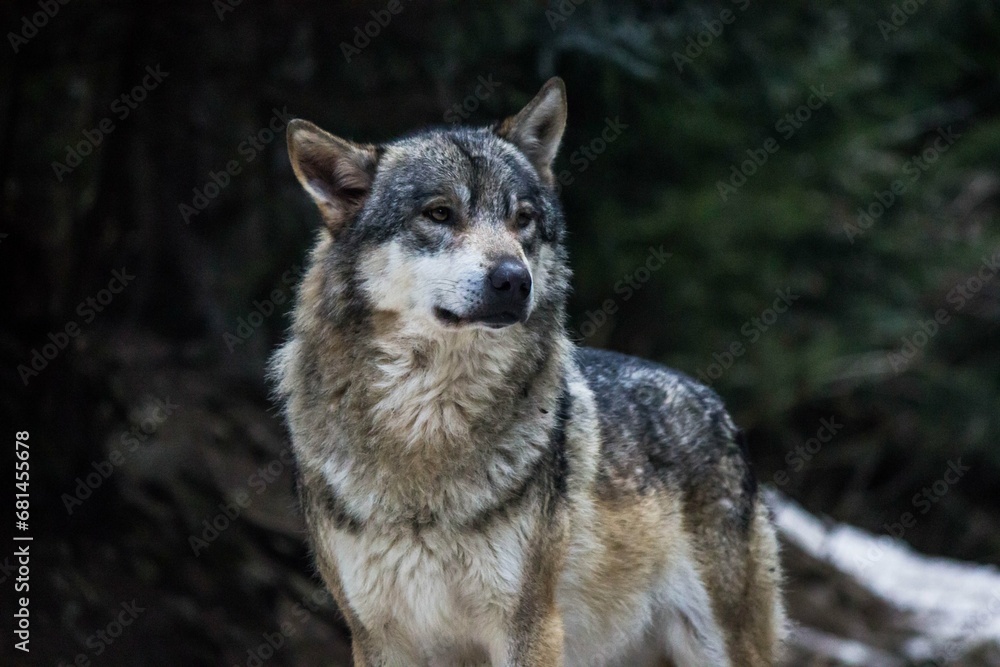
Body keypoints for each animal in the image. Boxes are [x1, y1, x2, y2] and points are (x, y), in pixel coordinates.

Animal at [271, 77, 785, 666]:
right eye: (439, 214)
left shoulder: (529, 624)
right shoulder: (377, 637)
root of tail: (715, 405)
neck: (427, 432)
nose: (514, 280)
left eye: (522, 219)